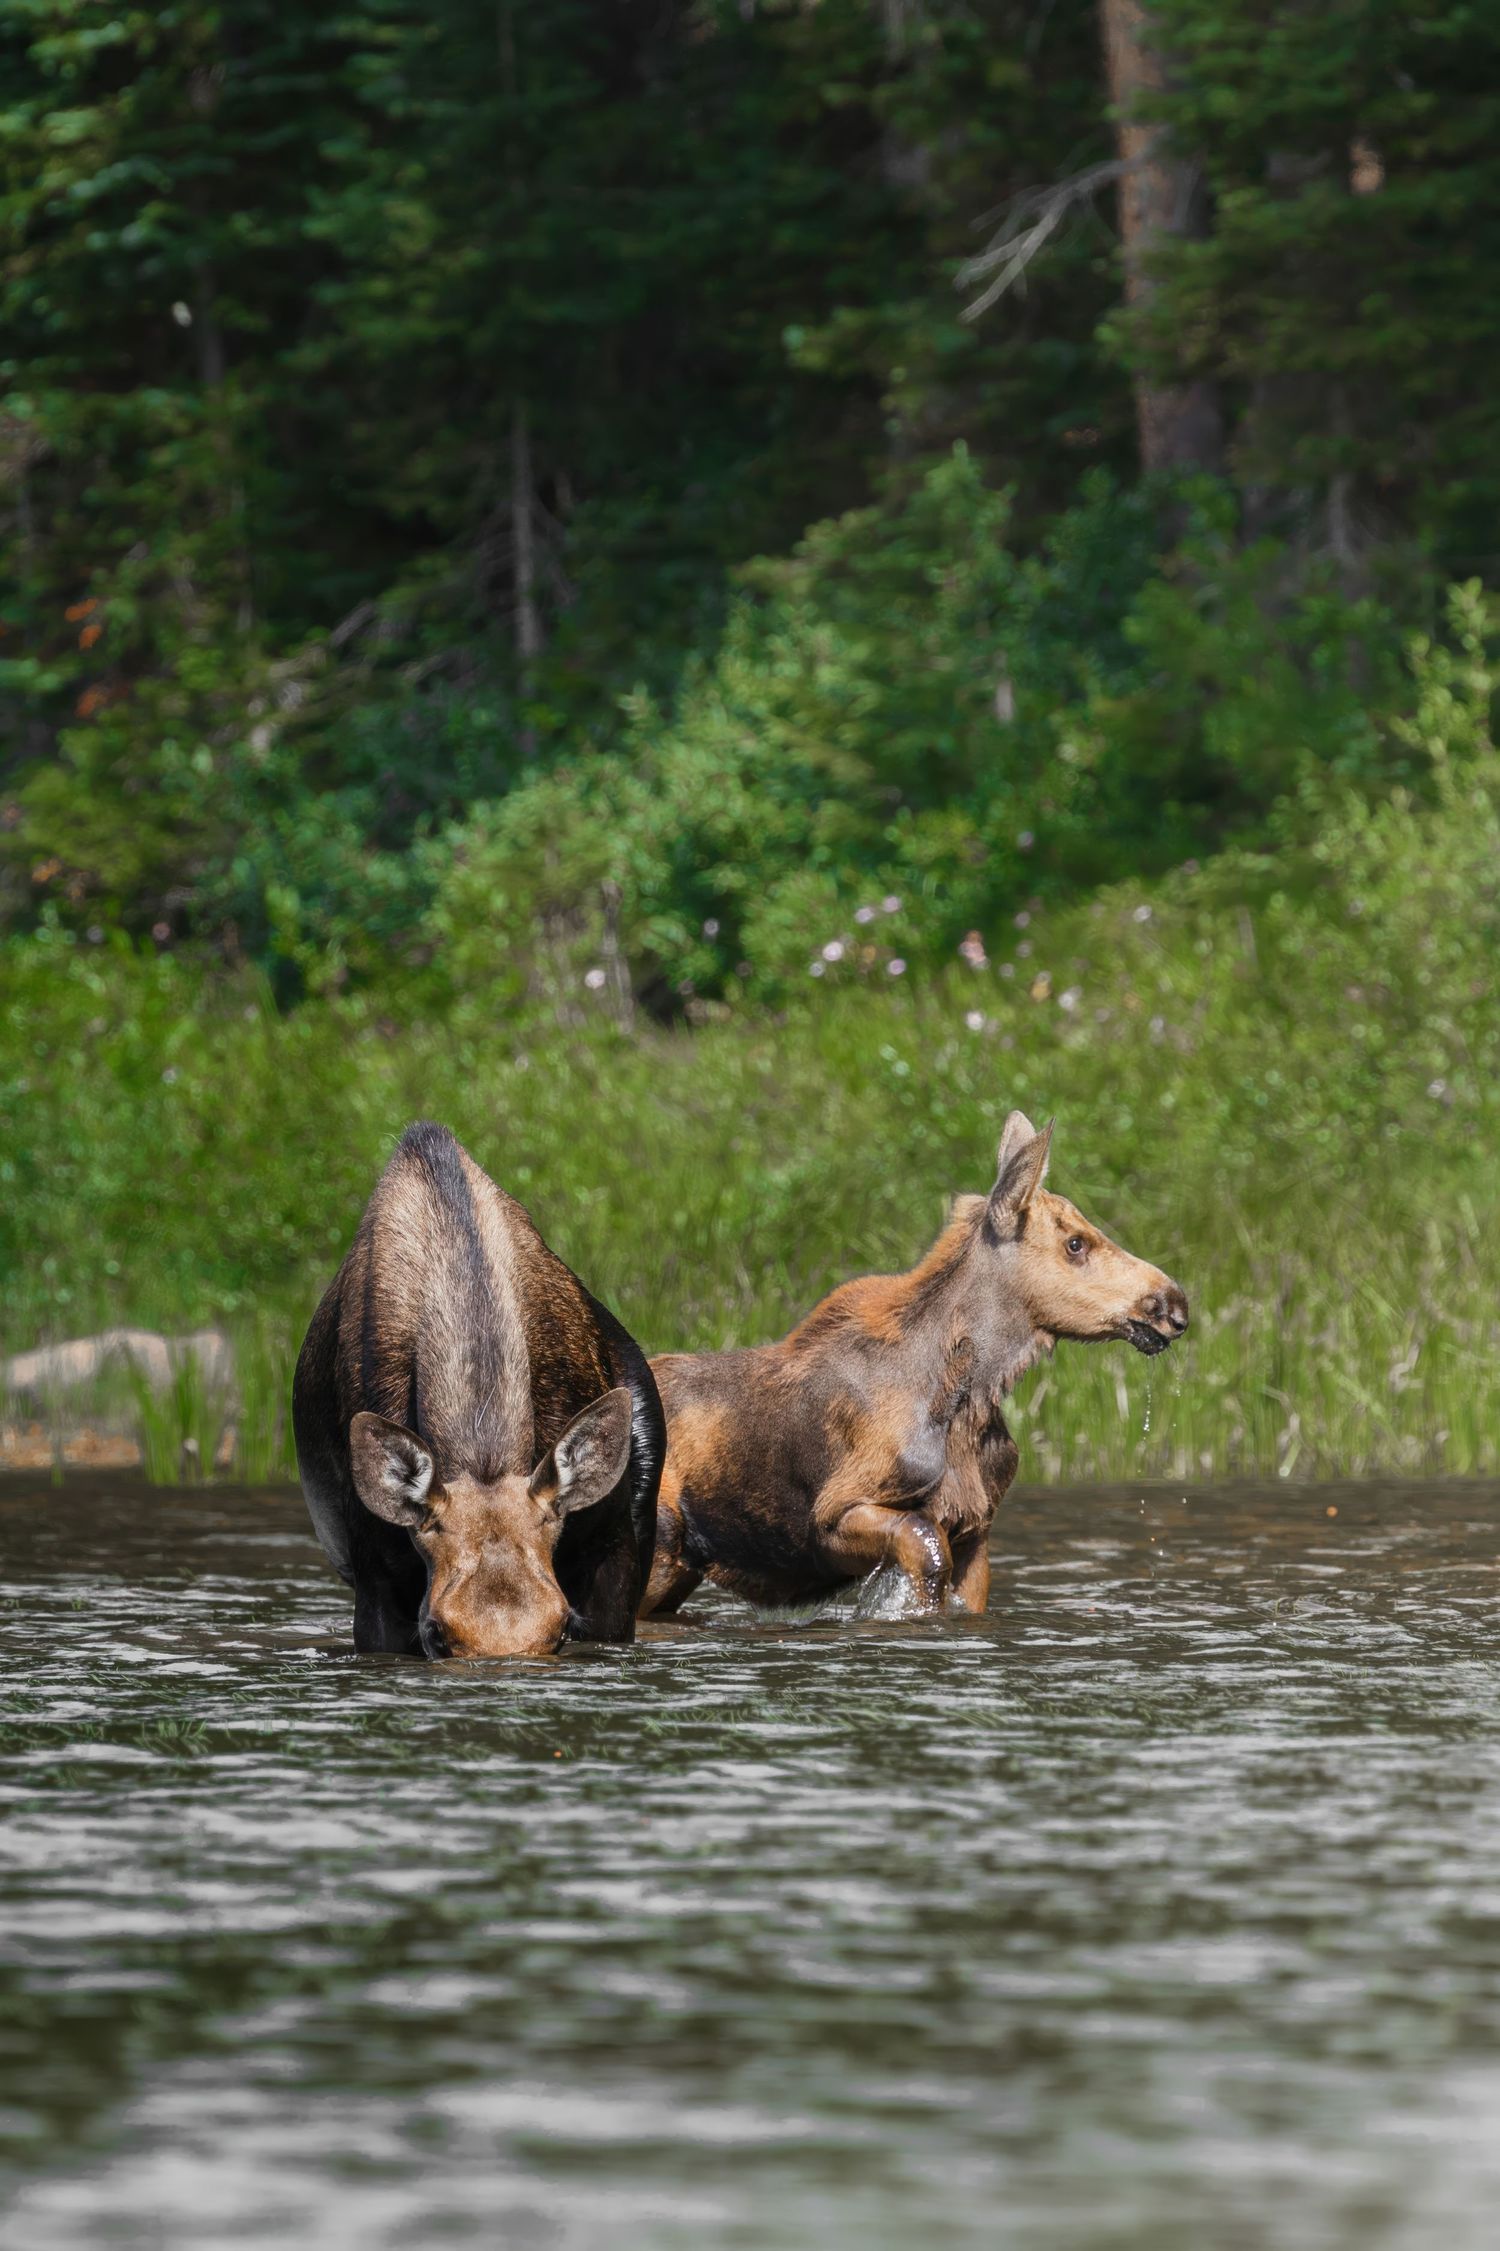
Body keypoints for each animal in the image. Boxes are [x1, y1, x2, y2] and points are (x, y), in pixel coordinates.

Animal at [640, 1111, 1187, 1620]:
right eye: (1076, 1243)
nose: (1174, 1303)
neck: (968, 1403)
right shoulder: (835, 1514)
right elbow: (925, 1547)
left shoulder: (976, 1531)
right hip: (660, 1546)